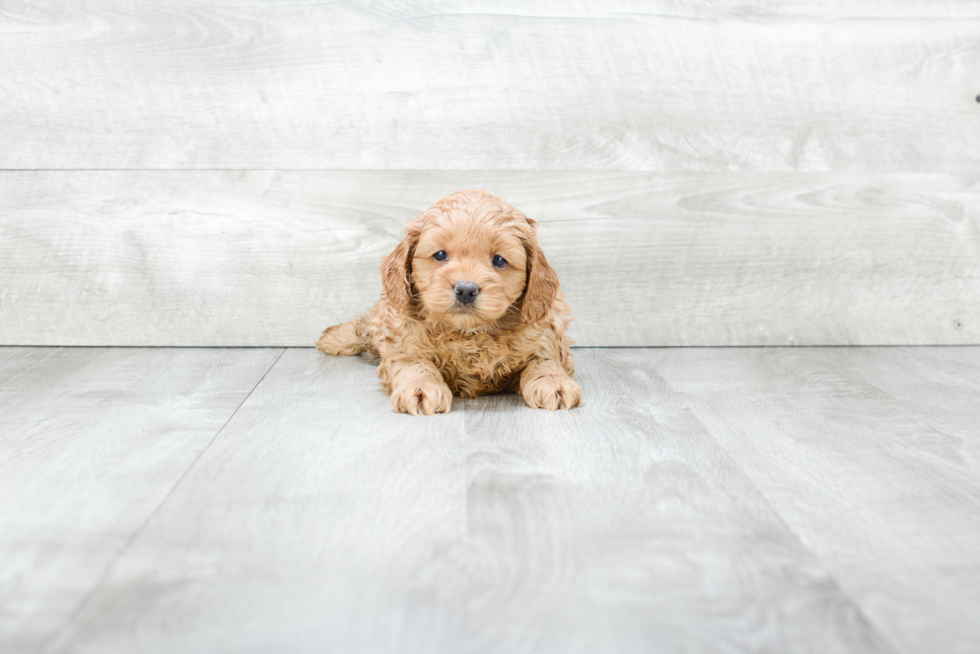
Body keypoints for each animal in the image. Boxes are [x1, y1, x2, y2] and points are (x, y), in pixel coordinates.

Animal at [318, 190, 580, 416]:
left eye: (499, 260)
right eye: (440, 255)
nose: (466, 290)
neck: (469, 334)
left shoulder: (544, 334)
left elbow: (545, 361)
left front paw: (555, 382)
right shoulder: (403, 340)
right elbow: (415, 363)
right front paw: (420, 388)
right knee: (364, 327)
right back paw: (332, 338)